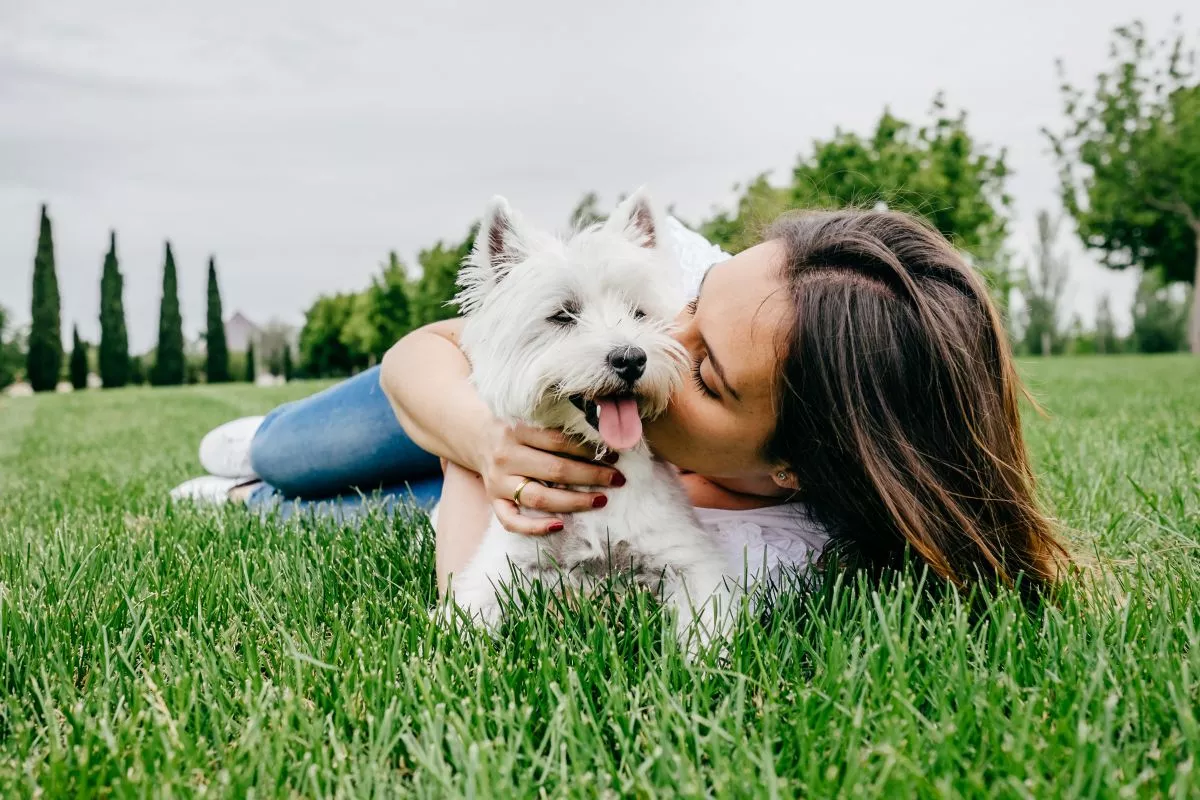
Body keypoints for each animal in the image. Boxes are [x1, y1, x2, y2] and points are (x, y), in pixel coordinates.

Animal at [448, 190, 734, 647]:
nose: (631, 358)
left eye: (638, 312)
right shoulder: (505, 564)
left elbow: (708, 623)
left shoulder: (688, 559)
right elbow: (463, 619)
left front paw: (704, 661)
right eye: (563, 315)